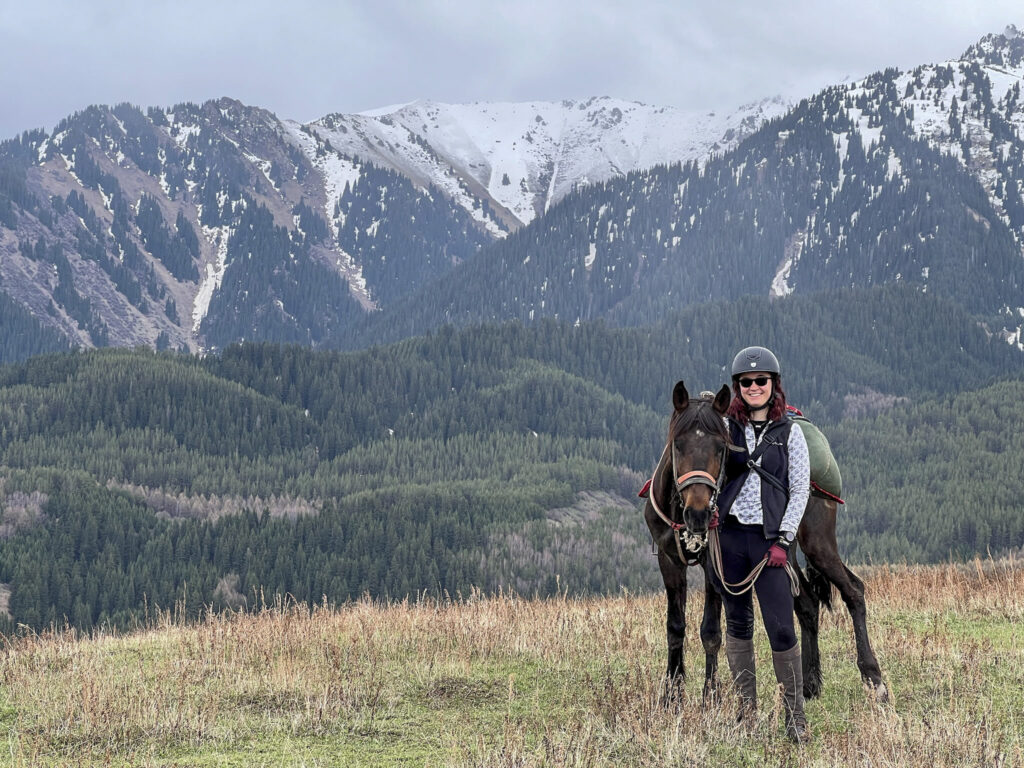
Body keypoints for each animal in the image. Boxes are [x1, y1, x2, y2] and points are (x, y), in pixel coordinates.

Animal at [642, 380, 887, 704]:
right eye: (678, 444)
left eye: (721, 447)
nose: (698, 513)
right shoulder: (669, 561)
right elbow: (675, 627)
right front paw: (671, 696)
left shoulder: (715, 566)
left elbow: (710, 632)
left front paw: (710, 696)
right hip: (784, 552)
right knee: (807, 602)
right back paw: (808, 684)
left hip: (817, 542)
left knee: (853, 591)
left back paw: (874, 679)